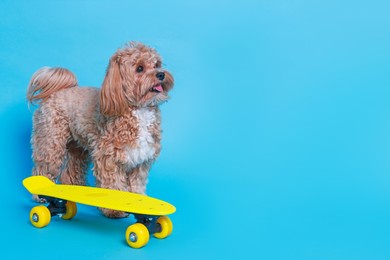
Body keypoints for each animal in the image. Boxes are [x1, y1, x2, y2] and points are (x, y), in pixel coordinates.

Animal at [26, 42, 174, 217]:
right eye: (140, 68)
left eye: (157, 64)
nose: (161, 74)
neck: (137, 109)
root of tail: (57, 92)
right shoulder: (109, 158)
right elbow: (113, 184)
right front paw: (115, 210)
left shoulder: (141, 160)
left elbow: (137, 185)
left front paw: (140, 205)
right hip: (51, 142)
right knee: (43, 168)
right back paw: (41, 195)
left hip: (78, 147)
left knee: (71, 168)